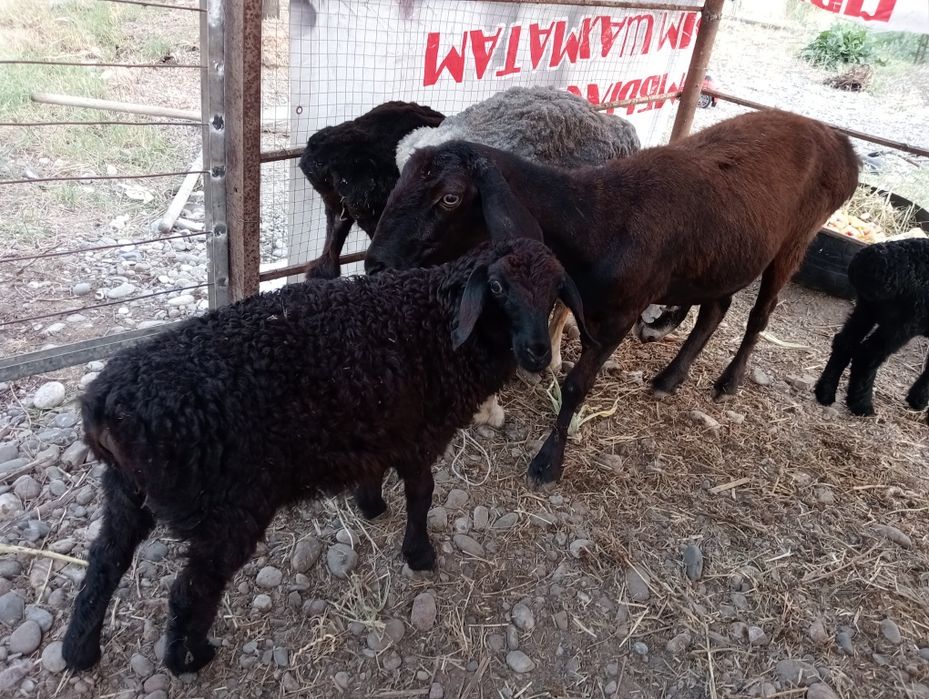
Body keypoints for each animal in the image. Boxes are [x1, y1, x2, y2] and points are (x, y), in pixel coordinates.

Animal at [61, 238, 590, 676]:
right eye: (497, 287)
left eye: (555, 291)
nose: (538, 353)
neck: (434, 323)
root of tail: (104, 408)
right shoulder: (421, 434)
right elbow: (423, 494)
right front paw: (419, 554)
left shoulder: (381, 426)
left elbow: (377, 471)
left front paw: (371, 506)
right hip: (227, 510)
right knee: (190, 589)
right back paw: (187, 660)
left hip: (127, 492)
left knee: (104, 563)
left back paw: (79, 651)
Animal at [365, 109, 860, 484]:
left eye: (450, 198)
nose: (376, 264)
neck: (596, 219)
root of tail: (837, 139)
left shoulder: (621, 314)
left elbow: (576, 385)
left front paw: (548, 462)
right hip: (718, 261)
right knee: (717, 308)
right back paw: (669, 379)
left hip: (796, 239)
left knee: (760, 314)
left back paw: (728, 382)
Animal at [815, 237, 929, 417]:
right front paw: (920, 400)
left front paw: (917, 399)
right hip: (905, 322)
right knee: (867, 355)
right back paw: (861, 406)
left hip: (867, 307)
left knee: (845, 342)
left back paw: (825, 392)